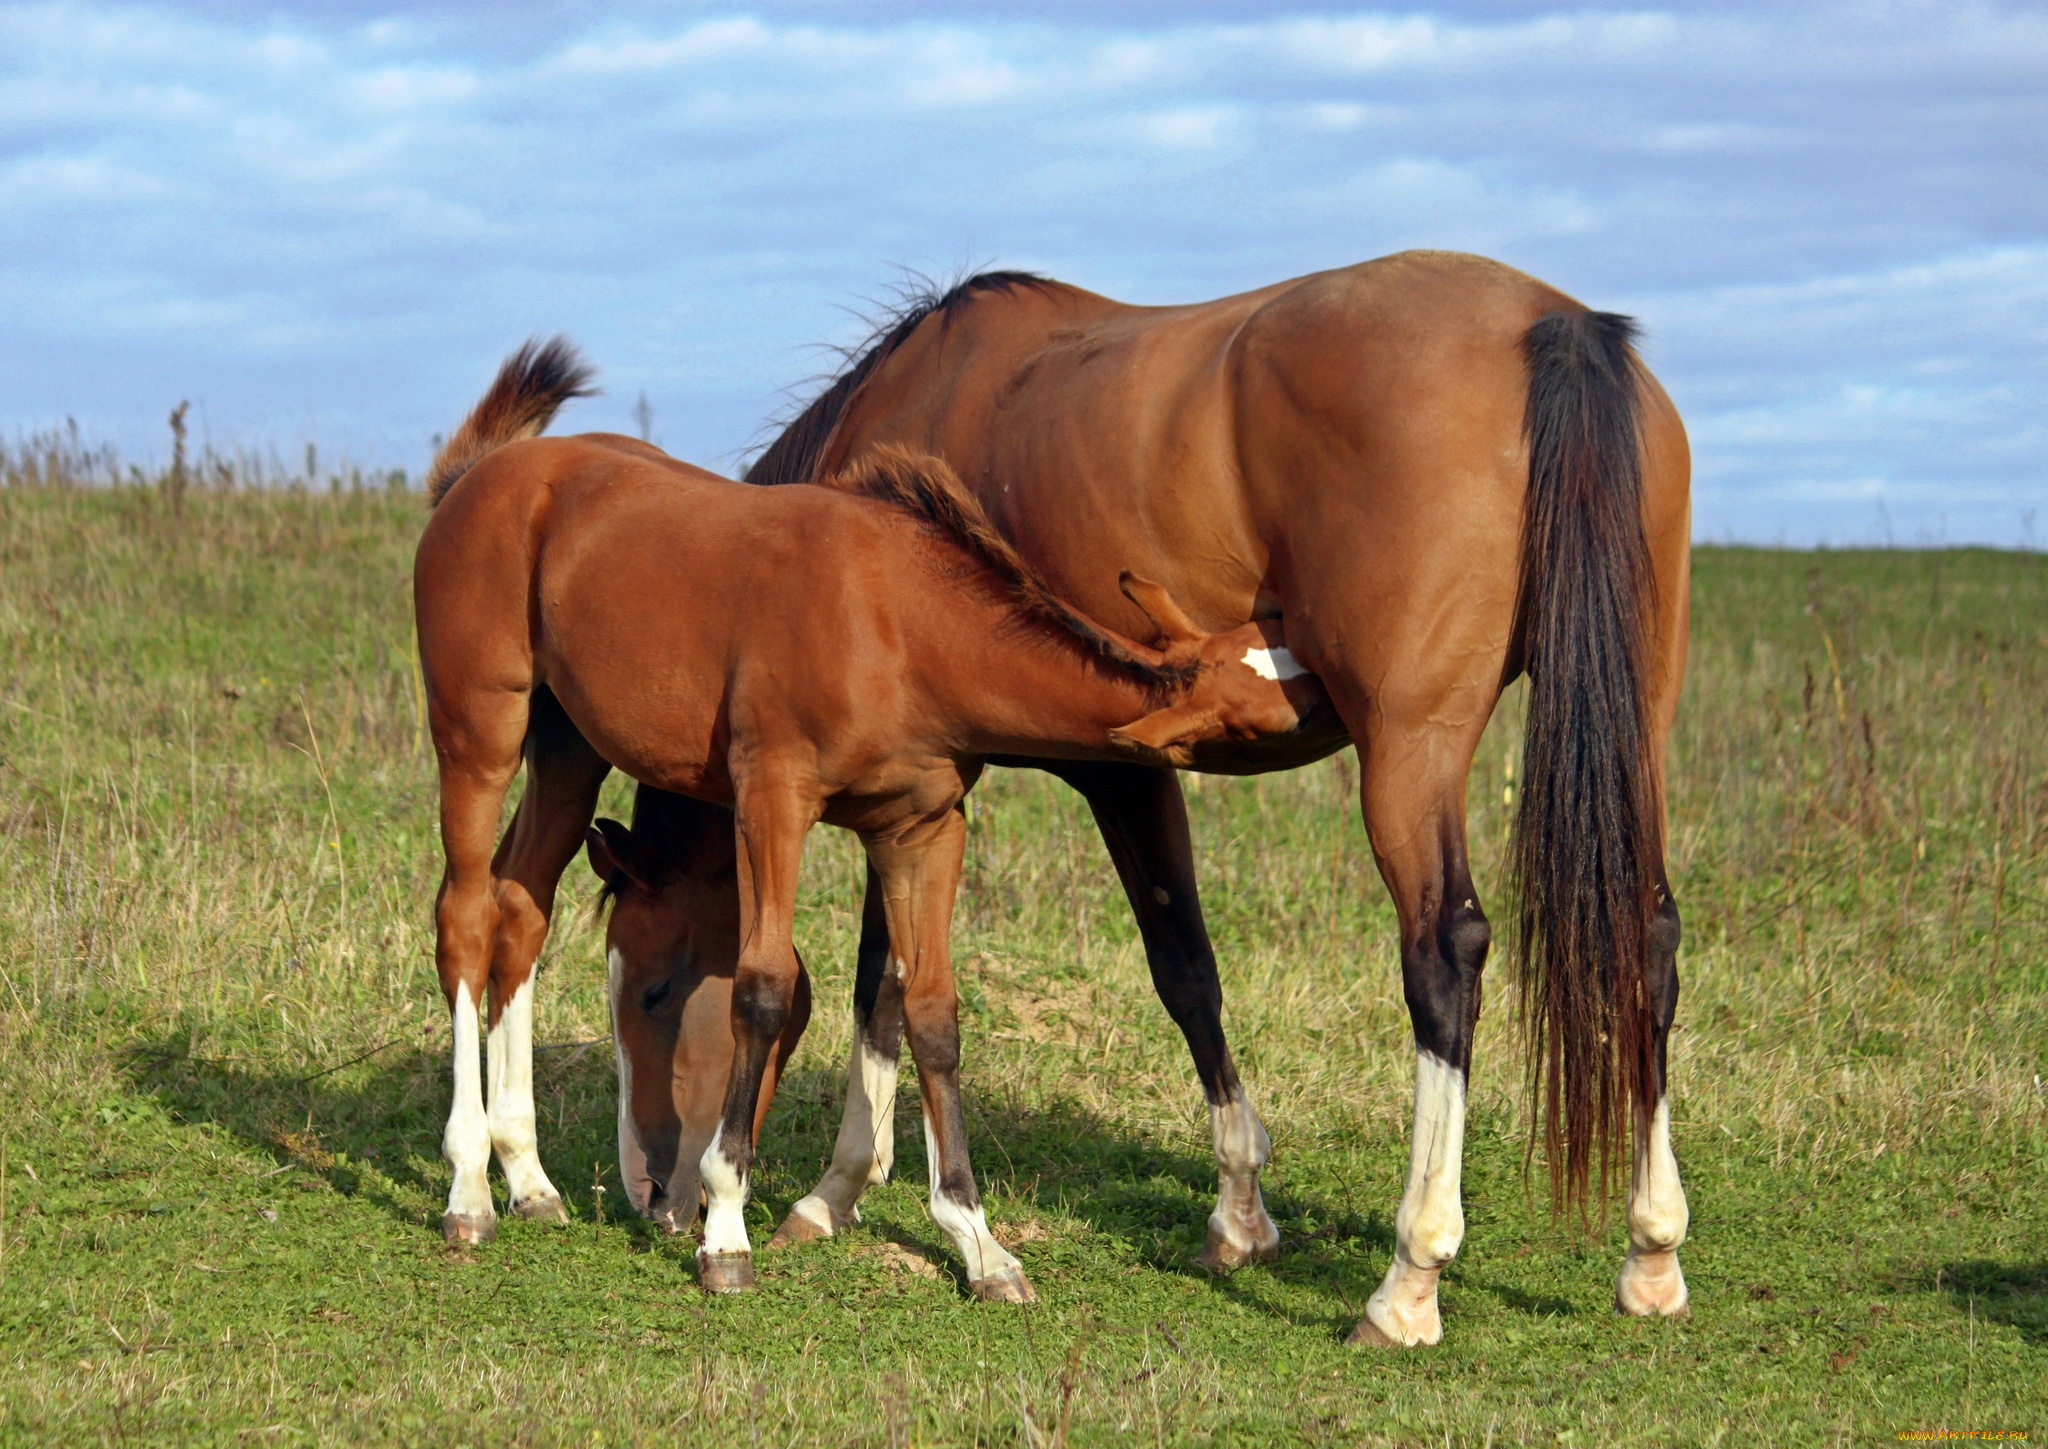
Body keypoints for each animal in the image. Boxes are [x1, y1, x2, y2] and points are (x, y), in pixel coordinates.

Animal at [411, 341, 1327, 1301]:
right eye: (649, 994)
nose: (653, 1193)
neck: (896, 620)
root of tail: (480, 477)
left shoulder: (920, 829)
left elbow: (929, 1011)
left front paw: (979, 1243)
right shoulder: (772, 800)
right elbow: (764, 987)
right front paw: (727, 1231)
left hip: (569, 752)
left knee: (522, 906)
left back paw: (530, 1177)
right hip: (479, 731)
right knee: (465, 916)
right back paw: (470, 1187)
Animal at [720, 251, 1695, 1350]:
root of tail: (1548, 324)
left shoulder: (1072, 773)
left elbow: (1123, 968)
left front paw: (835, 1188)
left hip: (1409, 751)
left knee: (1444, 953)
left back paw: (1409, 1279)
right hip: (1635, 726)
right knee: (1648, 935)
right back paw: (1650, 1251)